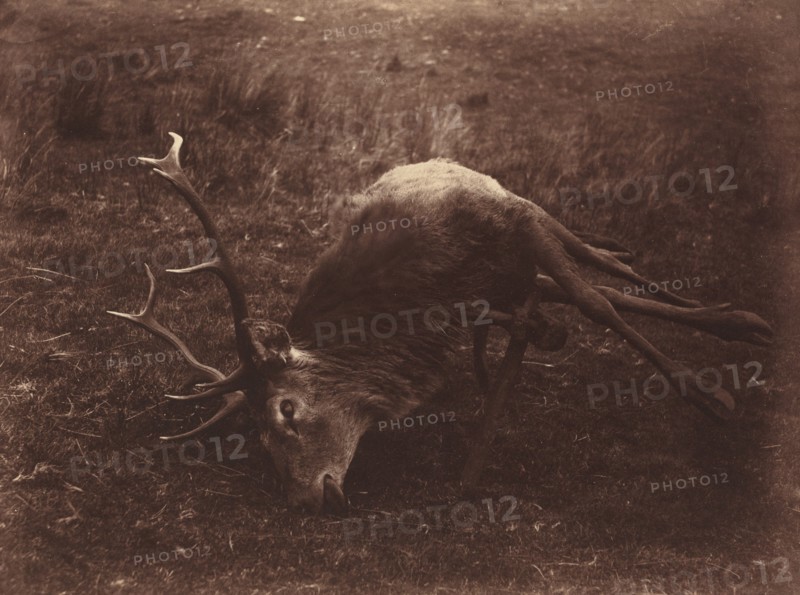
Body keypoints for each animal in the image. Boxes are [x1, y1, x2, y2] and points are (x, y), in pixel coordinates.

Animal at [108, 132, 773, 514]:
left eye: (286, 410)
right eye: (257, 437)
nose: (303, 501)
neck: (423, 290)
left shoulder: (519, 222)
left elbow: (598, 302)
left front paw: (711, 396)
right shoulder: (488, 291)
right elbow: (579, 304)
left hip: (531, 220)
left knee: (604, 268)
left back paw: (732, 319)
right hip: (516, 272)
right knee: (581, 284)